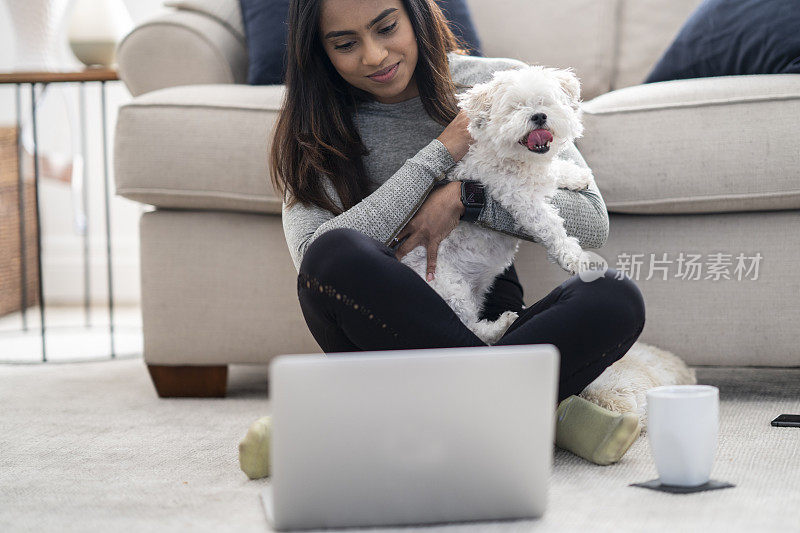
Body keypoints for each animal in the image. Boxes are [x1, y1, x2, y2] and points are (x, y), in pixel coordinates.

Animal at [400, 64, 592, 342]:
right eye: (515, 108)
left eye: (544, 101)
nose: (539, 116)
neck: (518, 160)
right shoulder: (520, 199)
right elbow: (551, 226)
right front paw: (573, 258)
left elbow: (555, 170)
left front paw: (577, 177)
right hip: (449, 287)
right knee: (469, 329)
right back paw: (500, 325)